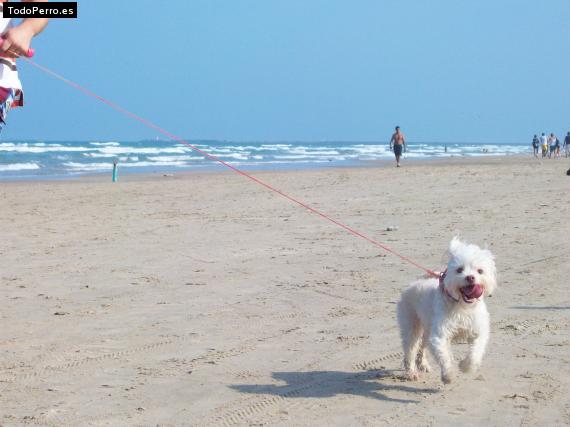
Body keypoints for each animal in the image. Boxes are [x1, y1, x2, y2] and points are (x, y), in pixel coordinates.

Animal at [394, 237, 492, 384]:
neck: (462, 306)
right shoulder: (439, 335)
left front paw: (465, 367)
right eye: (459, 270)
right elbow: (444, 357)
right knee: (410, 350)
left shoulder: (478, 332)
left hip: (427, 329)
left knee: (421, 347)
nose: (470, 277)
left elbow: (474, 355)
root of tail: (414, 284)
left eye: (480, 271)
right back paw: (411, 372)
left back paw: (423, 364)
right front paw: (448, 375)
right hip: (411, 327)